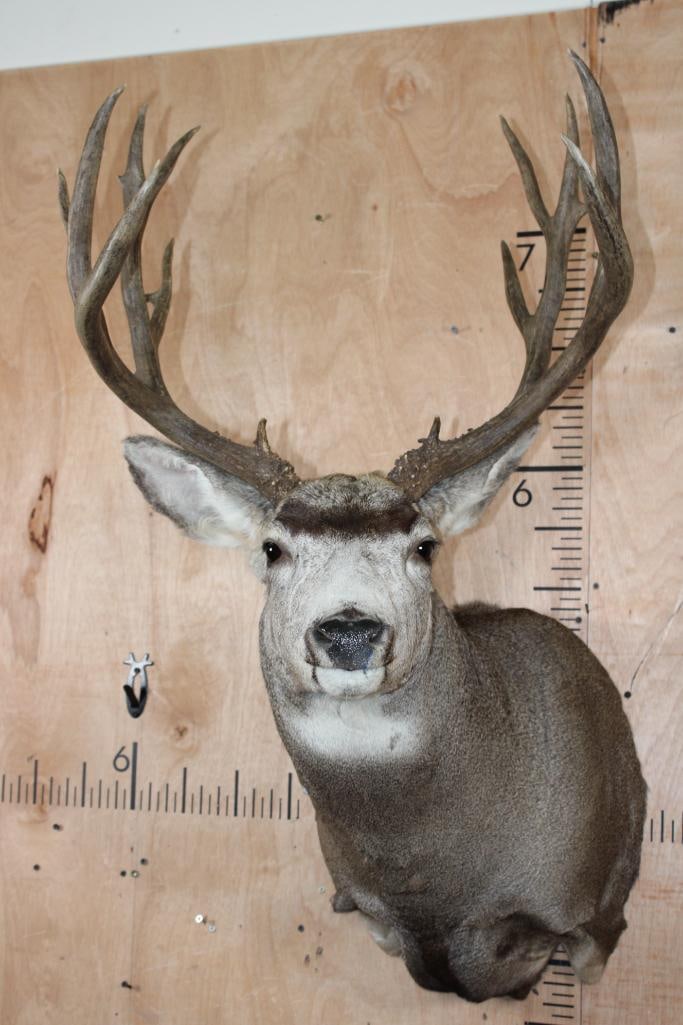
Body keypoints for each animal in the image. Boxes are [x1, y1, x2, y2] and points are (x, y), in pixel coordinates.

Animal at [59, 52, 646, 1003]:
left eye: (423, 546)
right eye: (271, 548)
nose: (346, 632)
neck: (436, 882)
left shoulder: (590, 913)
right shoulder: (361, 906)